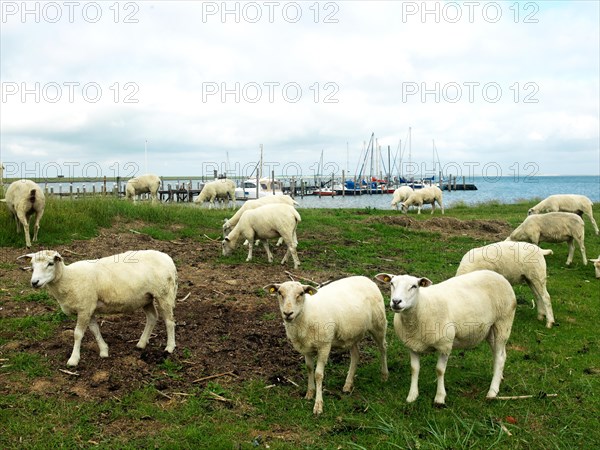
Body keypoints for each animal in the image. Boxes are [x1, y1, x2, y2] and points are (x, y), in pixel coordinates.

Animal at [18, 248, 177, 368]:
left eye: (50, 263)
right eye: (32, 266)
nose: (34, 282)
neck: (68, 279)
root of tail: (168, 258)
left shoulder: (84, 308)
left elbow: (77, 334)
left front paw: (73, 359)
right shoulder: (89, 308)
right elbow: (95, 330)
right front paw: (104, 351)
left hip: (164, 293)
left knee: (169, 321)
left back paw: (169, 347)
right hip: (146, 297)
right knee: (152, 317)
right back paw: (141, 344)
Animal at [264, 276, 390, 416]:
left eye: (301, 293)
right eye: (279, 293)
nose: (287, 313)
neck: (306, 313)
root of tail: (366, 278)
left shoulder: (324, 346)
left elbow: (318, 374)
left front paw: (318, 405)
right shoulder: (306, 348)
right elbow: (309, 369)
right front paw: (310, 393)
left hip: (378, 324)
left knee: (383, 348)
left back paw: (384, 375)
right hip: (351, 334)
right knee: (356, 355)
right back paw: (347, 384)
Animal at [376, 268, 516, 406]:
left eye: (414, 286)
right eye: (392, 283)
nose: (396, 302)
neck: (421, 308)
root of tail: (498, 275)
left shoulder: (445, 345)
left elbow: (439, 370)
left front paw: (440, 397)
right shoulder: (413, 346)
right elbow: (414, 369)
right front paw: (412, 395)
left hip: (503, 322)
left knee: (499, 357)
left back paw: (492, 391)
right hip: (489, 330)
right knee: (500, 354)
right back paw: (499, 377)